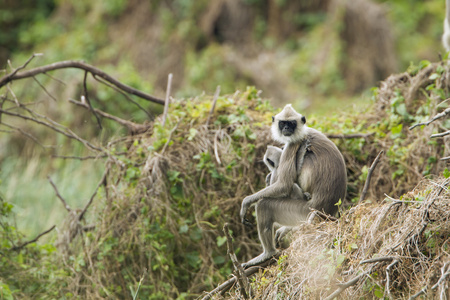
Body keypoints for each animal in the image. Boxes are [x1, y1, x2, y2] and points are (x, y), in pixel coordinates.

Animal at [241, 103, 346, 268]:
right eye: (283, 123)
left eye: (291, 123)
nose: (286, 129)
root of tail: (328, 211)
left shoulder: (292, 144)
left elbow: (284, 185)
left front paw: (246, 201)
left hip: (301, 211)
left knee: (264, 205)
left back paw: (268, 253)